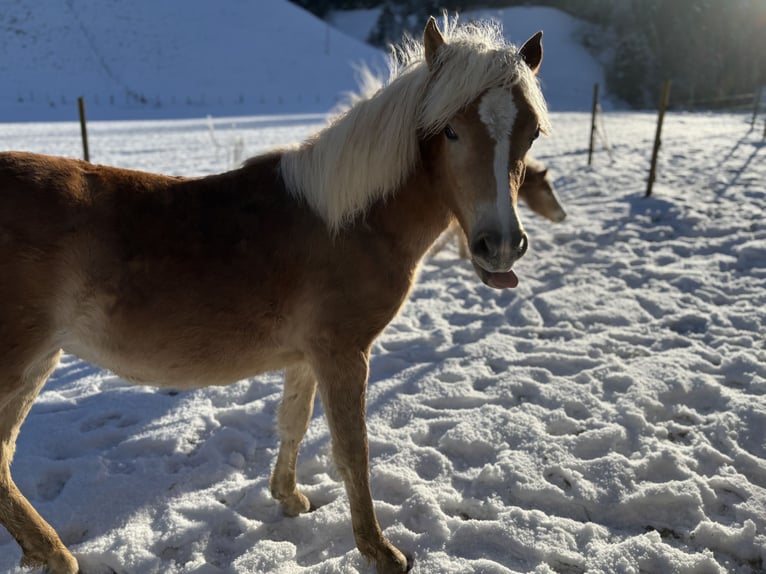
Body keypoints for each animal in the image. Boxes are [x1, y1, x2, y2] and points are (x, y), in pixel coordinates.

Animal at [0, 15, 552, 572]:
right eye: (451, 130)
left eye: (530, 134)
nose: (501, 246)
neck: (352, 224)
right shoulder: (343, 354)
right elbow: (352, 451)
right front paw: (379, 549)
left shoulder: (308, 356)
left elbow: (294, 423)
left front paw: (288, 497)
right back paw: (57, 554)